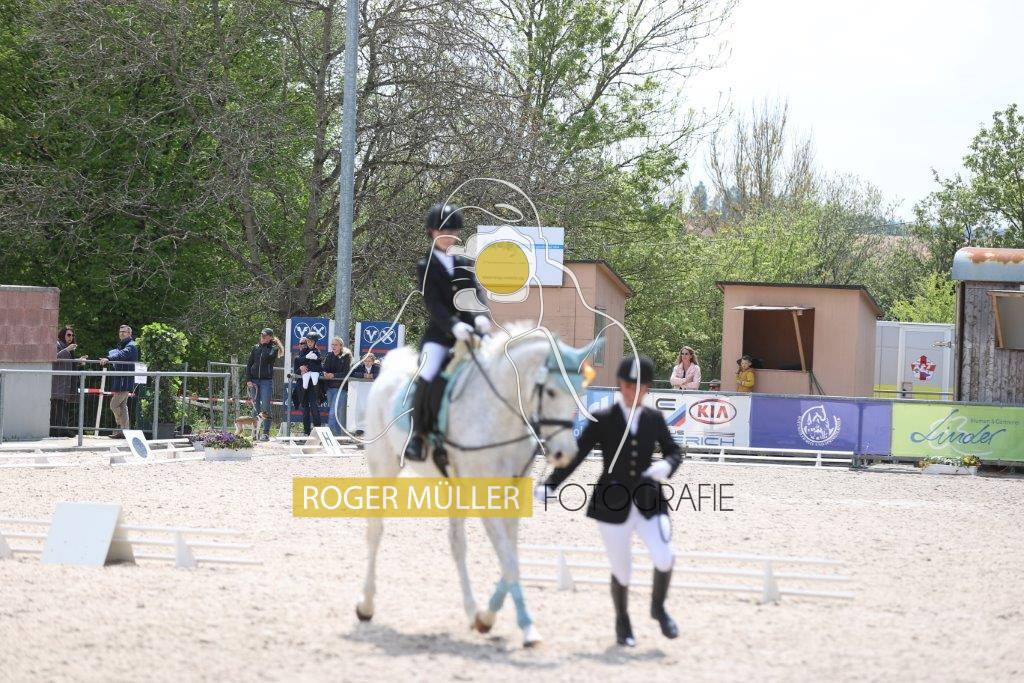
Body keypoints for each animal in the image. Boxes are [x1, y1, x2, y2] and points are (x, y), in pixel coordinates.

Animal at [354, 325, 592, 647]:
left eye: (580, 393)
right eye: (552, 391)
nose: (562, 454)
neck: (500, 413)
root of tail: (388, 372)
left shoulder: (512, 494)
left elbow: (510, 557)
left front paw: (487, 617)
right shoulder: (485, 495)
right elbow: (510, 562)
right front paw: (527, 628)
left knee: (457, 543)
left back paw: (470, 610)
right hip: (383, 468)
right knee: (375, 531)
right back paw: (366, 605)